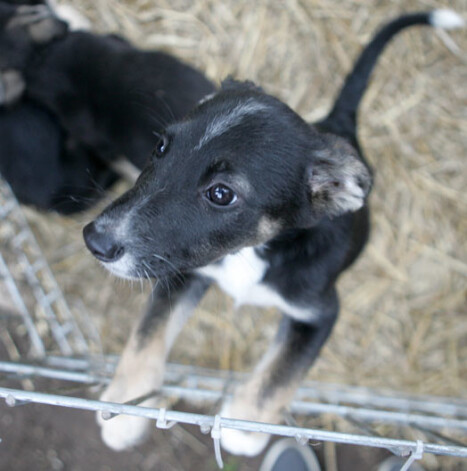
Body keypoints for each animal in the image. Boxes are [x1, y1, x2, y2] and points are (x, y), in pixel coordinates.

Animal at [83, 9, 464, 456]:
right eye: (161, 147)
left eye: (221, 194)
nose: (95, 240)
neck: (253, 251)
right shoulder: (184, 269)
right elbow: (146, 336)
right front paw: (125, 408)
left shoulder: (318, 313)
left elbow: (280, 375)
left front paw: (243, 426)